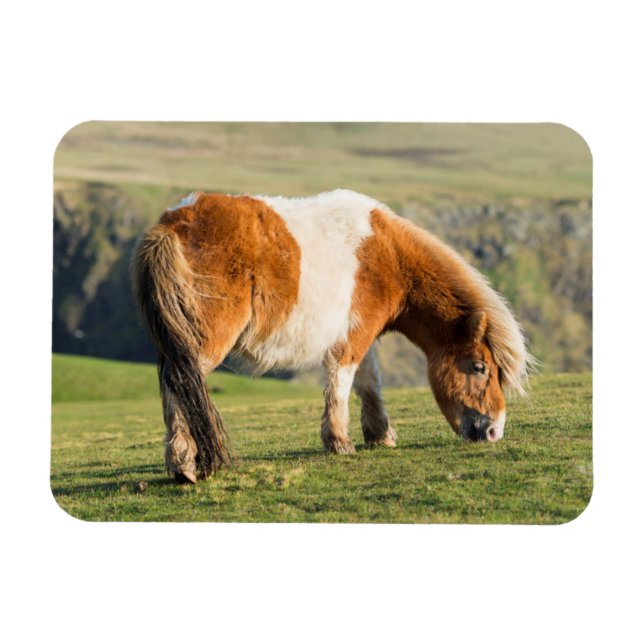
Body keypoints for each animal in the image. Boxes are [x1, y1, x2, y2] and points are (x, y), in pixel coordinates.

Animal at [133, 189, 533, 483]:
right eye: (480, 368)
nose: (494, 431)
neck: (387, 255)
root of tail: (171, 224)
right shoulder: (353, 338)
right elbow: (341, 382)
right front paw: (340, 442)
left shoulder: (364, 335)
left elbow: (370, 384)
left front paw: (380, 435)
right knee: (180, 382)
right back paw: (184, 465)